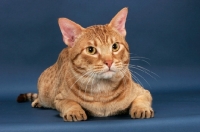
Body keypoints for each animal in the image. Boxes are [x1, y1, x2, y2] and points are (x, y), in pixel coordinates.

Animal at [17, 7, 155, 121]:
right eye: (91, 50)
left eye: (115, 46)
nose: (109, 61)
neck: (103, 91)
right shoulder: (59, 98)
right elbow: (70, 102)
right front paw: (74, 110)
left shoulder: (144, 92)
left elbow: (140, 99)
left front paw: (142, 108)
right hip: (45, 92)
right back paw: (37, 101)